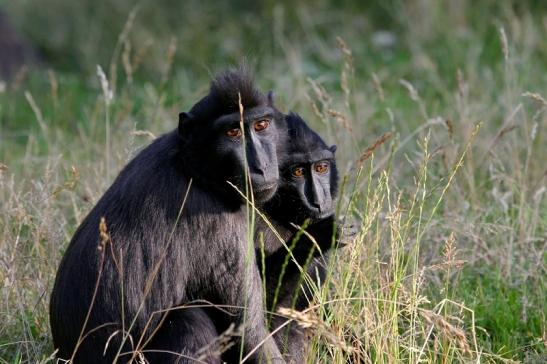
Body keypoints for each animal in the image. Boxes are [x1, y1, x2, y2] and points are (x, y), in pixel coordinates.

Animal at [49, 67, 286, 362]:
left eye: (261, 125)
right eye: (233, 132)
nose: (261, 167)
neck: (190, 165)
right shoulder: (218, 222)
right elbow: (249, 332)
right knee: (189, 319)